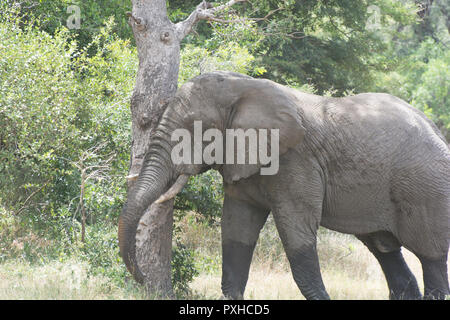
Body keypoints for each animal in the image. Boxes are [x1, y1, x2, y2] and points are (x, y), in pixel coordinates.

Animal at [118, 70, 448, 300]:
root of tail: (437, 132)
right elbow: (236, 232)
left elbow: (297, 234)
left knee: (431, 257)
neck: (244, 87)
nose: (144, 280)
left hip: (425, 190)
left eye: (197, 128)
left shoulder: (296, 162)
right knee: (385, 250)